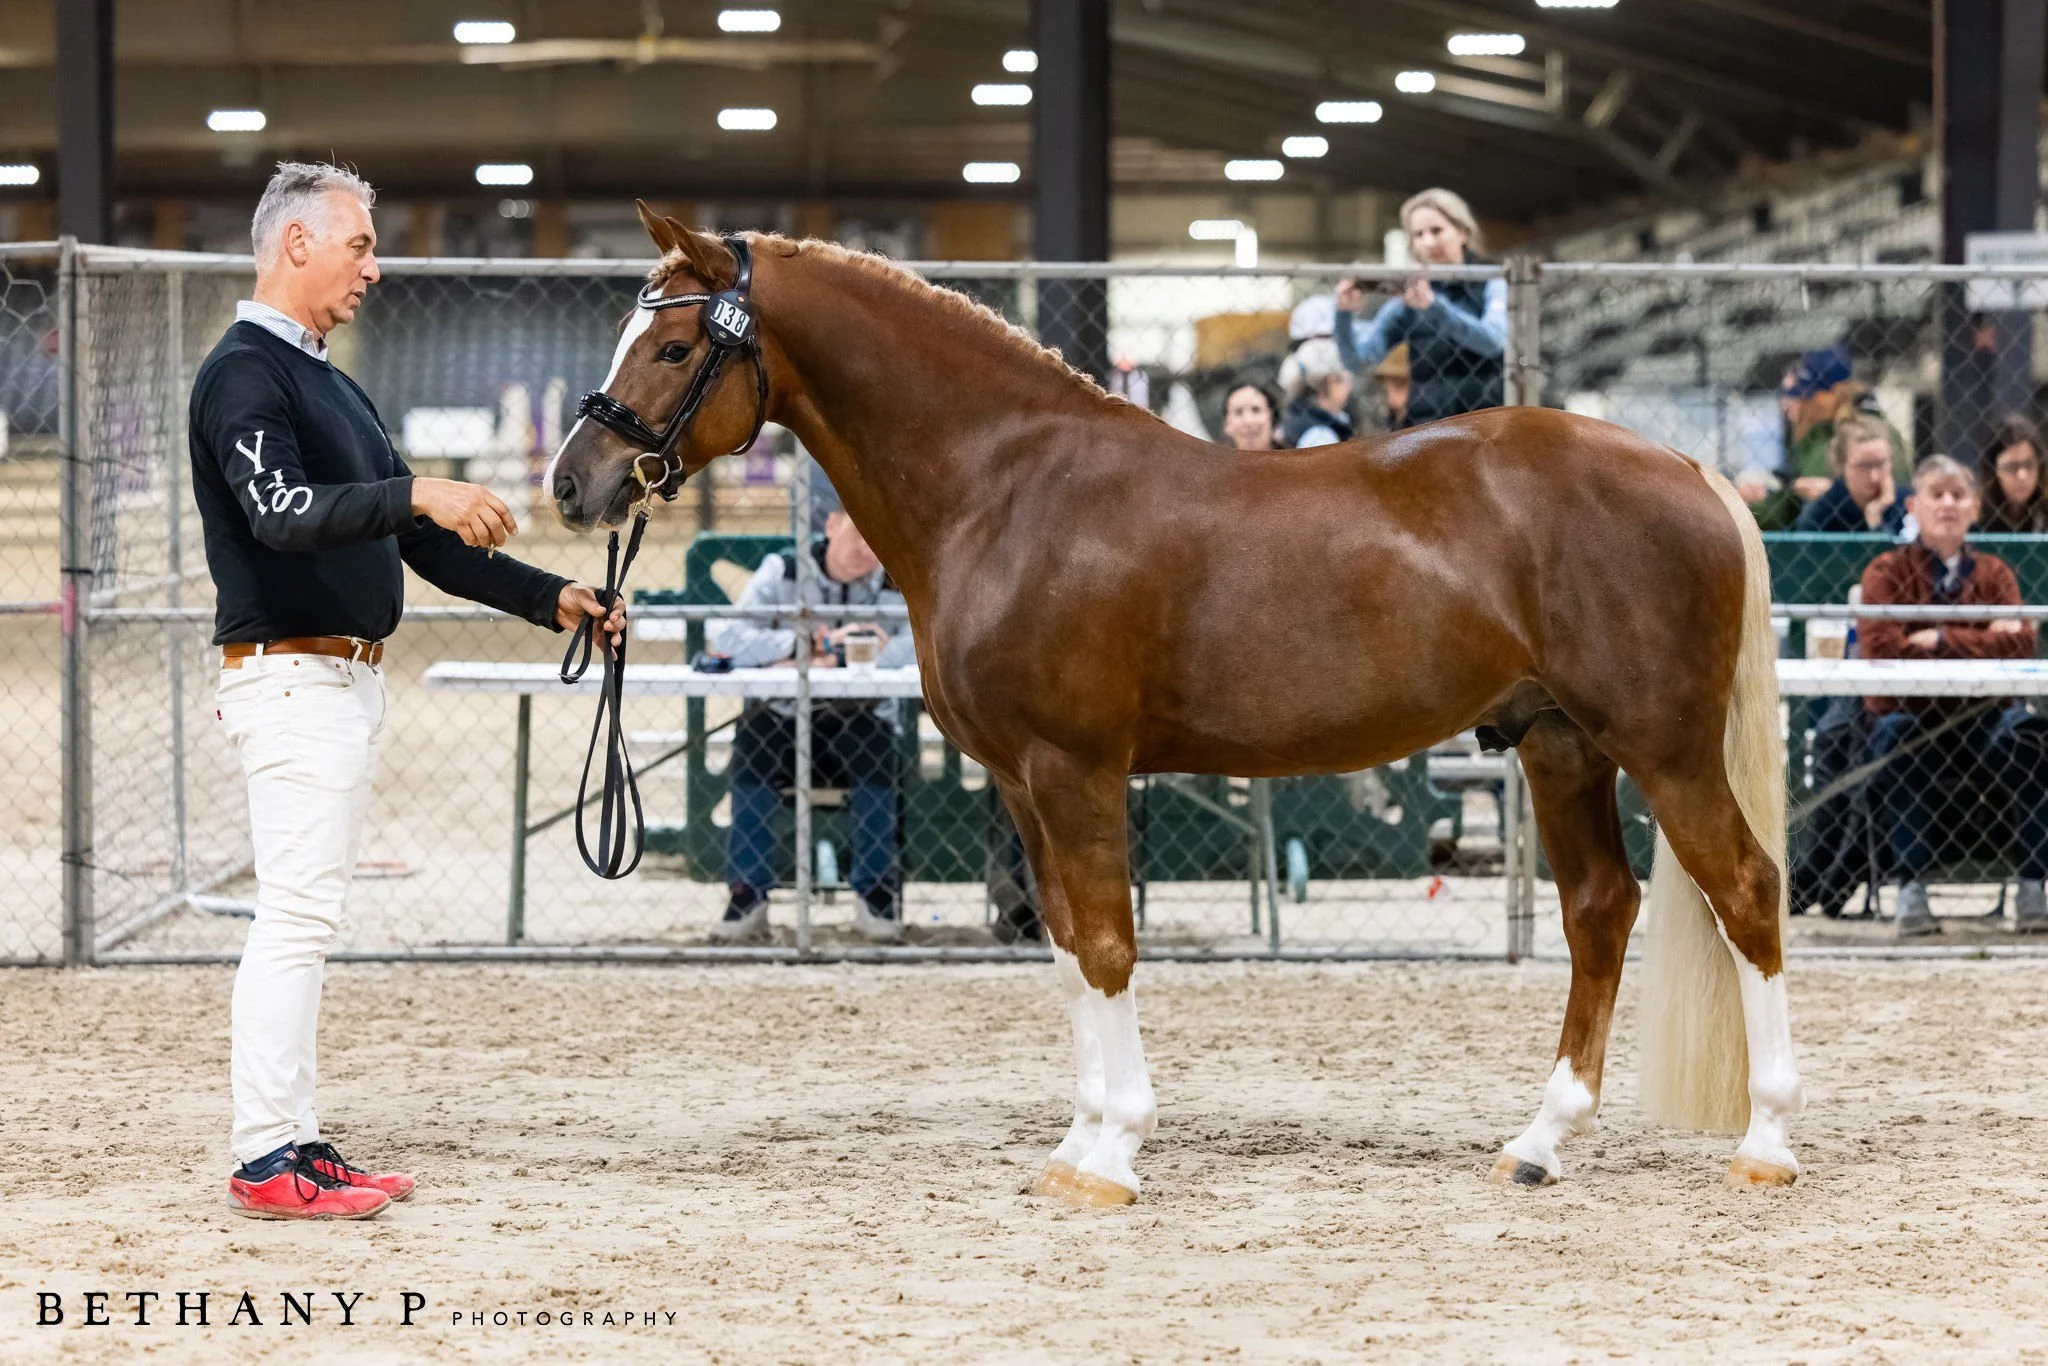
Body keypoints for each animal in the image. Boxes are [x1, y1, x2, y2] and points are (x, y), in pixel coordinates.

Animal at [546, 203, 1804, 1207]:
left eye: (672, 343)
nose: (572, 485)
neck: (1007, 488)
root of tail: (1689, 472)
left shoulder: (1074, 767)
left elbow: (1107, 943)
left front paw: (1112, 1158)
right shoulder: (1019, 781)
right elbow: (1062, 947)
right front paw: (1075, 1143)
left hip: (1662, 748)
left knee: (1744, 891)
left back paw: (1765, 1144)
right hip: (1557, 745)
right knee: (1599, 909)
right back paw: (1537, 1142)